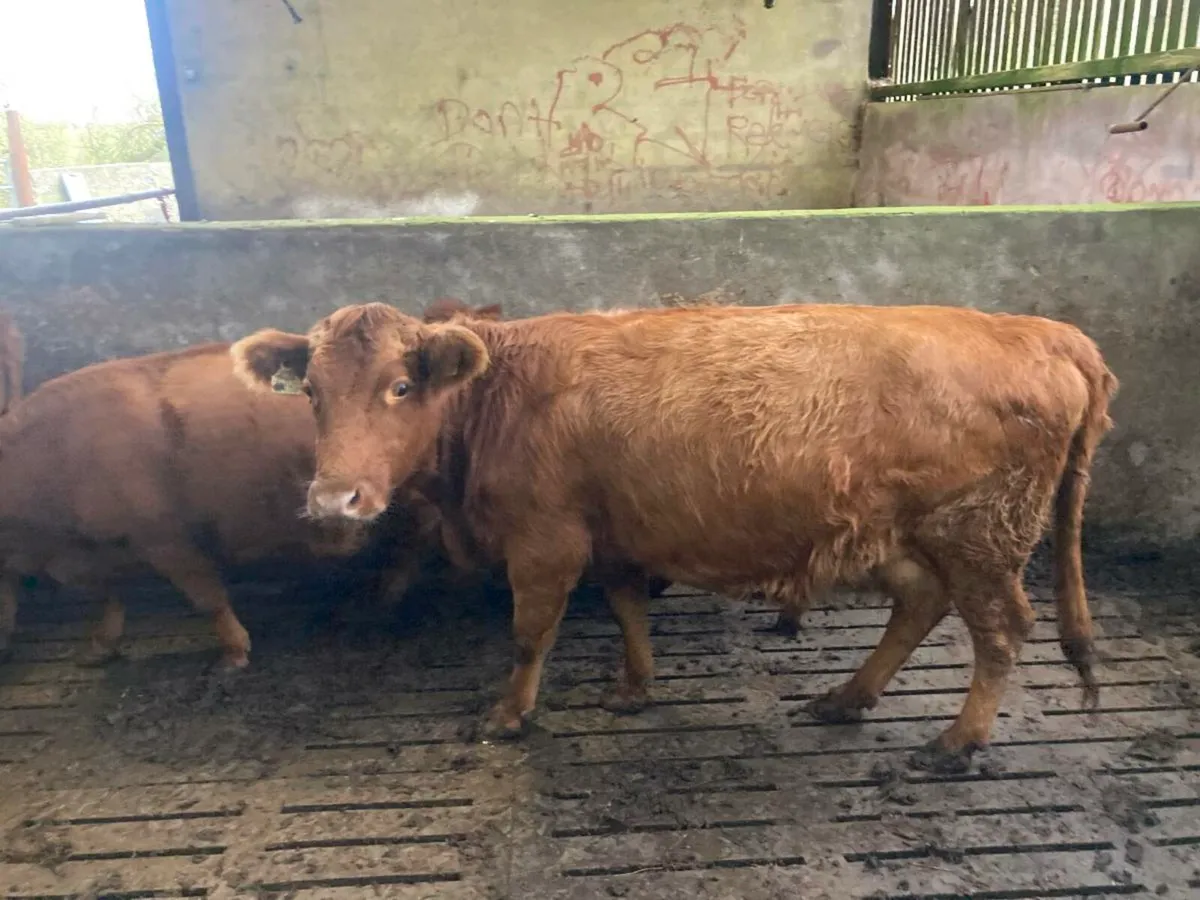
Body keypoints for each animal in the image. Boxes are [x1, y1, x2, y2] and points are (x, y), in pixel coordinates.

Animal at [231, 301, 1116, 772]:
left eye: (401, 386)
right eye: (309, 392)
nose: (335, 497)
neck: (497, 400)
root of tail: (1041, 330)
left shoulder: (545, 540)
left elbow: (530, 633)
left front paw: (510, 715)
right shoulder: (613, 534)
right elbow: (627, 607)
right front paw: (634, 687)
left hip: (981, 537)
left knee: (1001, 632)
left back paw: (957, 740)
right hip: (903, 535)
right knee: (920, 606)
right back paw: (847, 697)